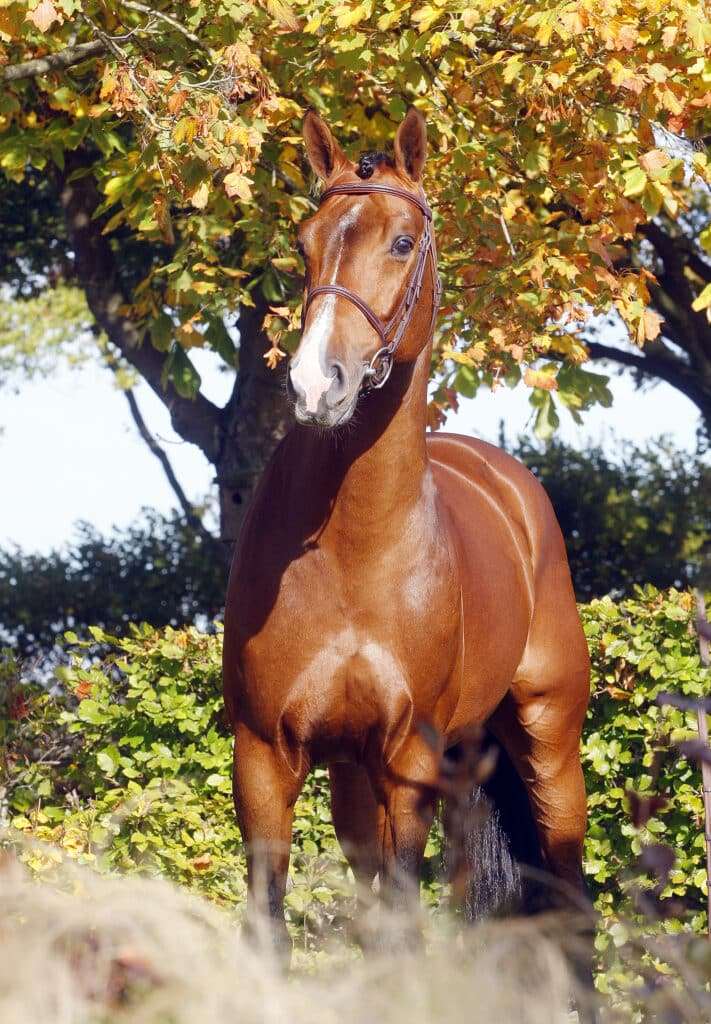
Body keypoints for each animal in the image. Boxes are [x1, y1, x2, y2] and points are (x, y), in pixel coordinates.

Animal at [223, 107, 592, 972]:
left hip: (549, 742)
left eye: (400, 242)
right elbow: (272, 921)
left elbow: (400, 920)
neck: (352, 550)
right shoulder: (264, 756)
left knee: (568, 897)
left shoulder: (407, 762)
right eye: (304, 242)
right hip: (359, 778)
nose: (315, 384)